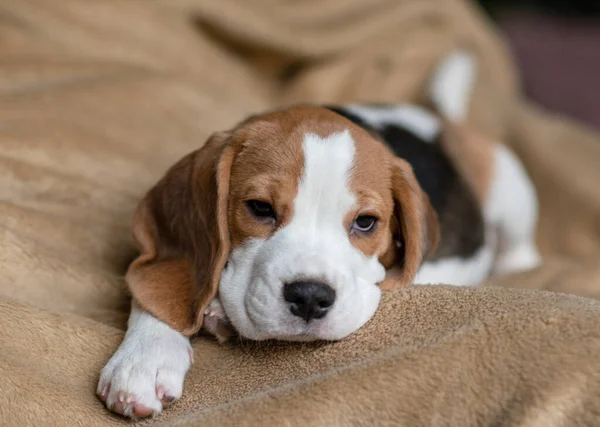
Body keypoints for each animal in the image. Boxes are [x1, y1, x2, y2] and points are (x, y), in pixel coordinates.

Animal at [97, 51, 540, 420]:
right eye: (260, 208)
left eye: (366, 222)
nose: (310, 297)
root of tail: (436, 119)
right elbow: (159, 291)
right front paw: (144, 358)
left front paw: (215, 314)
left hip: (513, 194)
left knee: (519, 250)